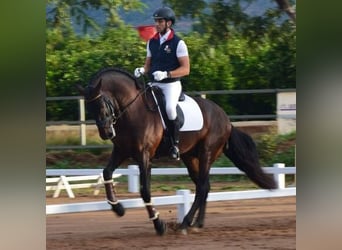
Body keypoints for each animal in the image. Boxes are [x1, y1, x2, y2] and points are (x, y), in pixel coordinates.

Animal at [76, 67, 276, 235]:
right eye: (89, 108)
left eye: (102, 103)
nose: (106, 133)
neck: (133, 111)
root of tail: (226, 119)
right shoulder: (121, 151)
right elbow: (107, 172)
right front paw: (117, 208)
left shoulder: (144, 156)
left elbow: (145, 190)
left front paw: (159, 225)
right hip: (190, 157)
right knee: (204, 186)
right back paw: (197, 223)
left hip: (206, 153)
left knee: (202, 186)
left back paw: (186, 223)